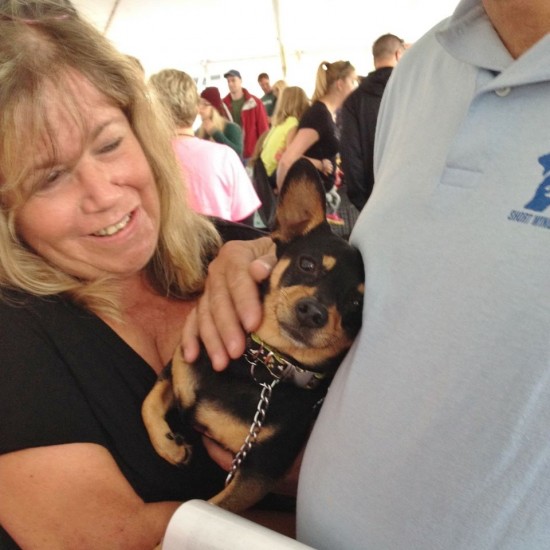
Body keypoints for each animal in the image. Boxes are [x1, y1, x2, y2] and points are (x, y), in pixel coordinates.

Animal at [142, 158, 366, 512]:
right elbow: (148, 404)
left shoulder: (257, 473)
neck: (264, 364)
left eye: (357, 305)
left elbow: (215, 504)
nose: (313, 312)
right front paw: (169, 446)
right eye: (307, 264)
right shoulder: (176, 366)